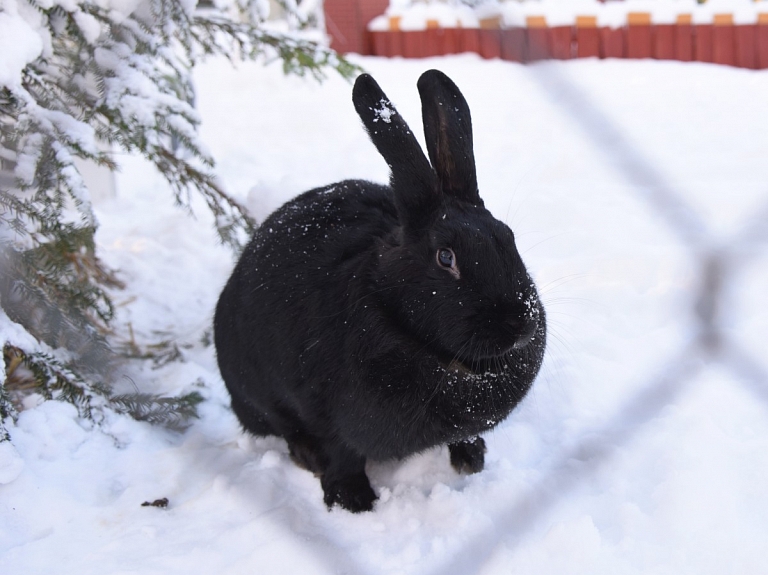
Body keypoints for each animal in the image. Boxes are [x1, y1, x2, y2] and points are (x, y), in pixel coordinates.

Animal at [213, 70, 544, 516]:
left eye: (507, 238)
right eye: (445, 257)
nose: (520, 324)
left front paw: (472, 459)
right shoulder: (320, 409)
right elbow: (341, 452)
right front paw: (353, 501)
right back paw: (307, 457)